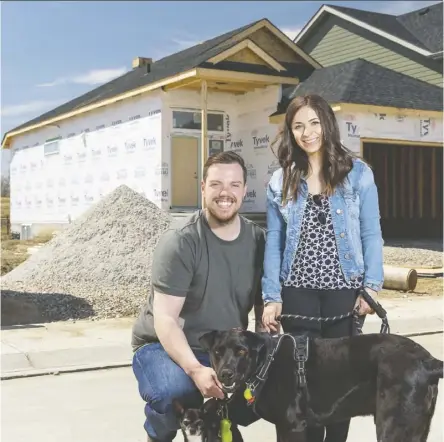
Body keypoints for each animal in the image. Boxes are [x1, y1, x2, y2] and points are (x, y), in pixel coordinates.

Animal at [199, 330, 442, 442]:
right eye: (218, 352)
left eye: (241, 351)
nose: (225, 373)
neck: (266, 362)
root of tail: (429, 361)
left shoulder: (293, 426)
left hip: (393, 426)